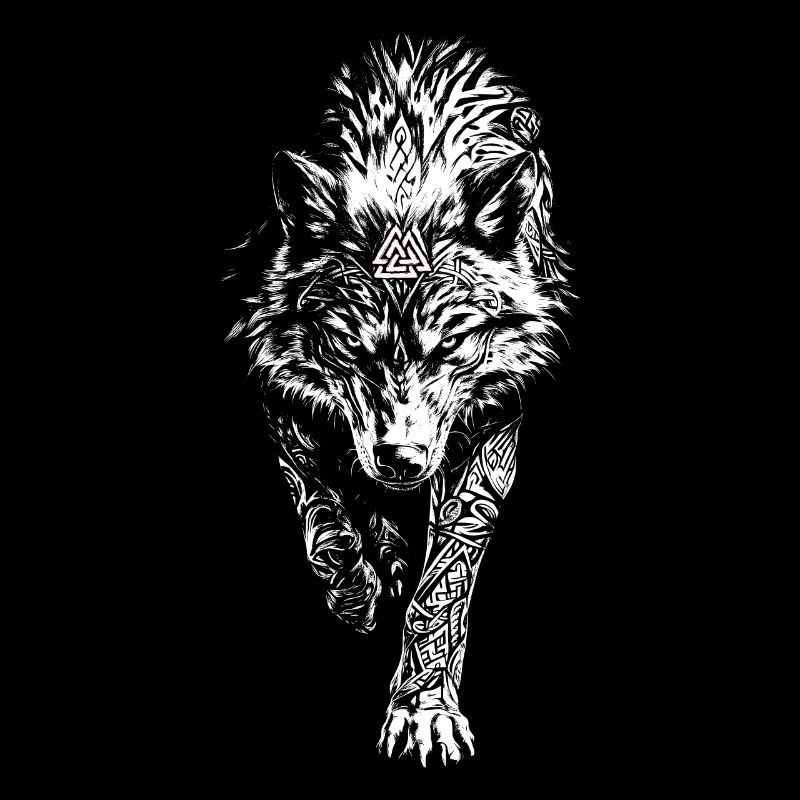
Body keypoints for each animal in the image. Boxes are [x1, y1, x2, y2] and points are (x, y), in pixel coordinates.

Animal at [227, 36, 570, 765]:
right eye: (351, 346)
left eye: (453, 344)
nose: (403, 459)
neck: (407, 164)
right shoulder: (278, 383)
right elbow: (319, 503)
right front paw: (351, 583)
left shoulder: (490, 427)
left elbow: (438, 592)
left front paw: (423, 710)